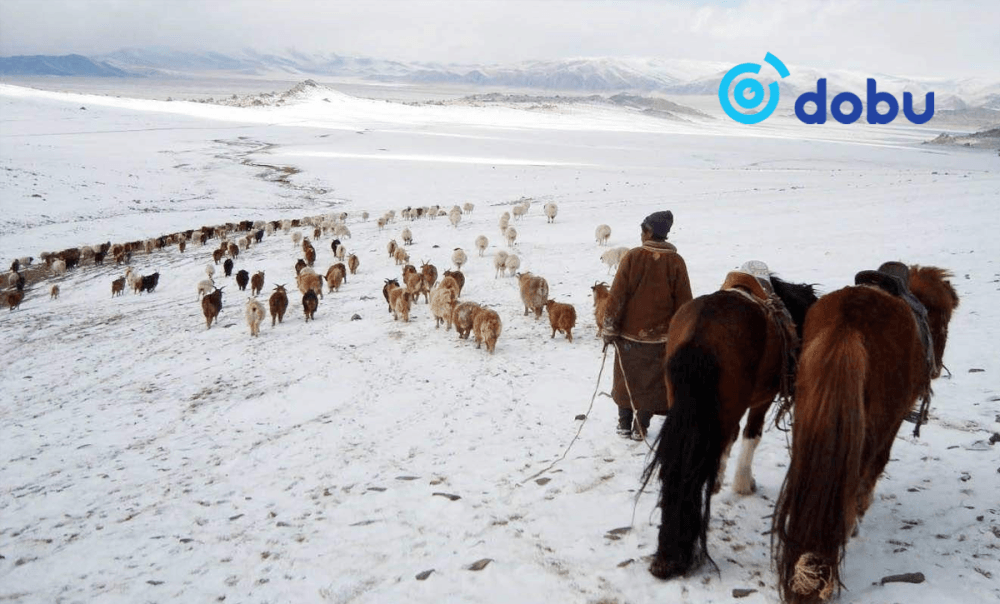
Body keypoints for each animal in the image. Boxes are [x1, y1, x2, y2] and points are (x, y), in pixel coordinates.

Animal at [644, 272, 816, 580]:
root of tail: (701, 334)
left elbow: (728, 440)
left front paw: (719, 479)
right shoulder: (761, 398)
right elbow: (750, 435)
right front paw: (743, 483)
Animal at [772, 266, 960, 600]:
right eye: (945, 320)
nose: (936, 368)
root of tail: (849, 320)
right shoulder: (892, 422)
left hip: (810, 410)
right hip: (876, 421)